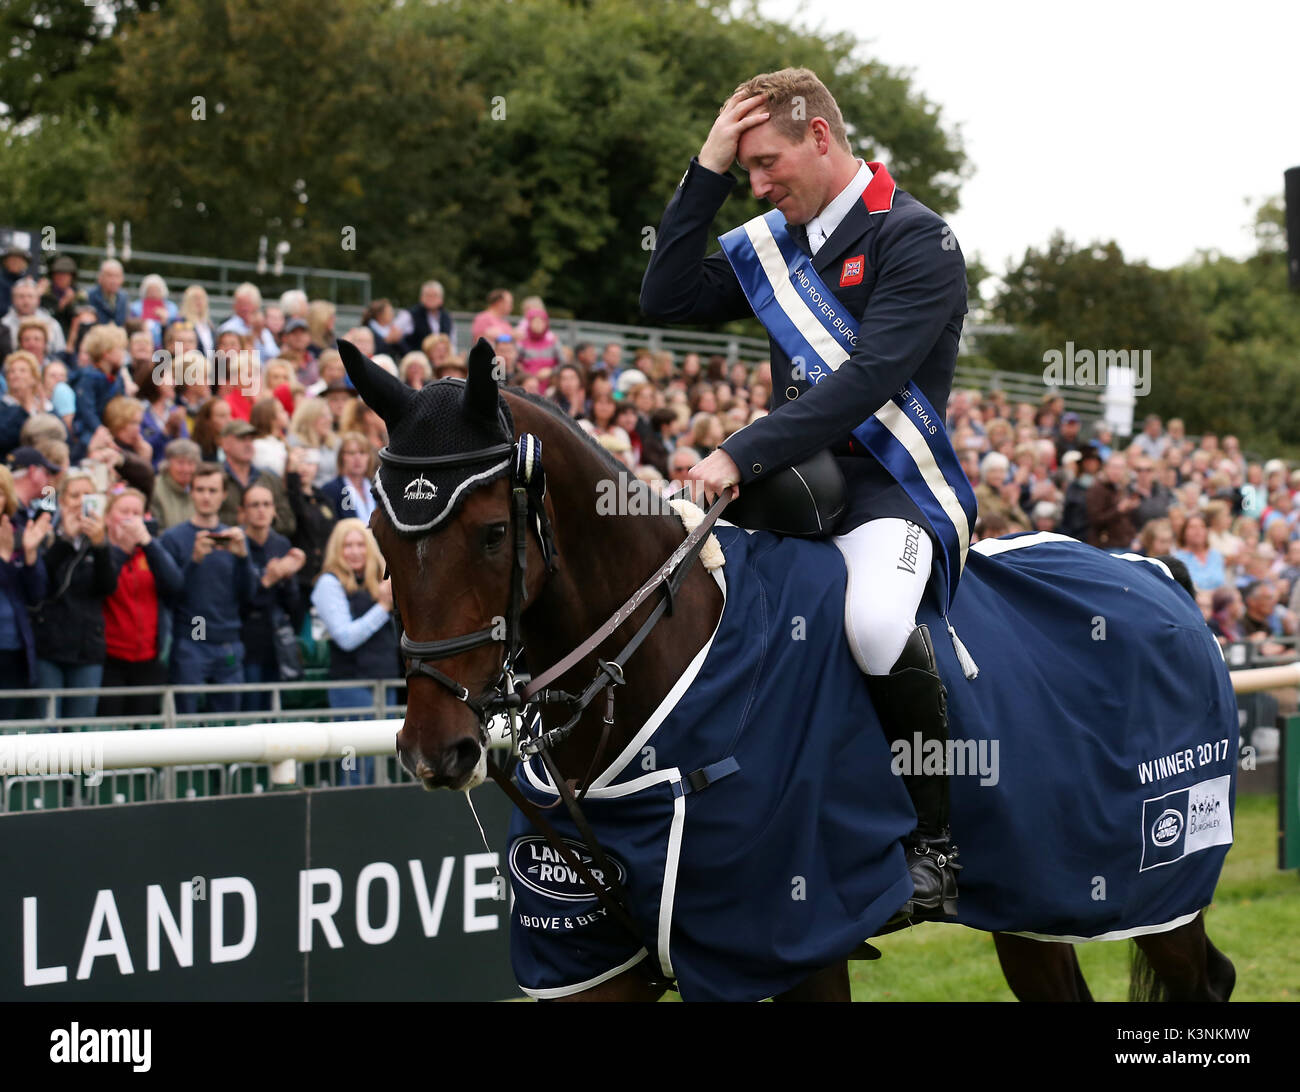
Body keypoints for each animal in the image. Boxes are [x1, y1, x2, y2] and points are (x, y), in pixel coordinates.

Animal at [340, 338, 1232, 1003]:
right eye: (379, 538)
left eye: (492, 533)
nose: (435, 750)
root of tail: (1156, 572)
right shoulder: (589, 961)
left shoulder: (794, 942)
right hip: (1035, 895)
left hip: (1158, 888)